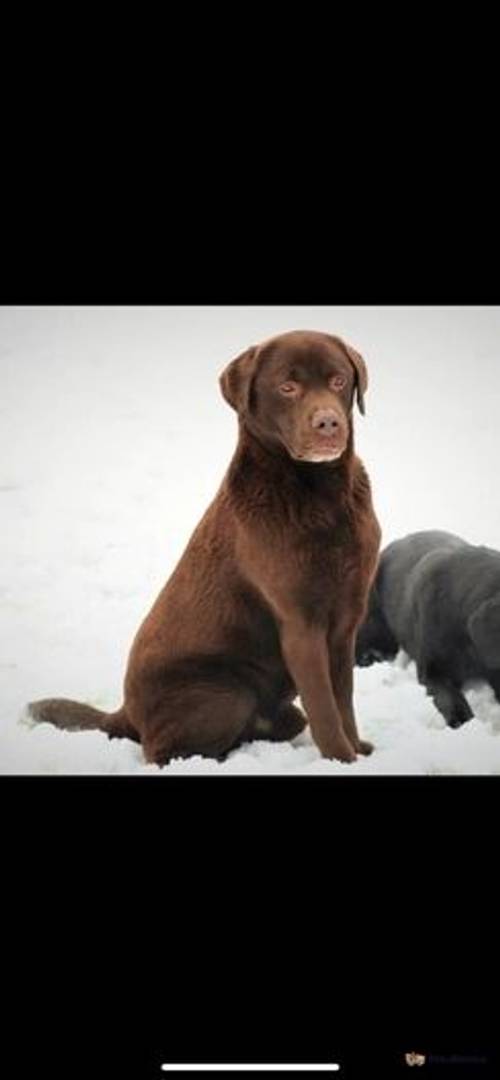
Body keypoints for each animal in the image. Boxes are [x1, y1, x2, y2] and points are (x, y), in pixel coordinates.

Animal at [29, 332, 382, 764]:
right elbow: (325, 707)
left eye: (337, 381)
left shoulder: (346, 618)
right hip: (226, 693)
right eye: (288, 387)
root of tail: (125, 712)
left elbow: (343, 698)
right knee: (160, 750)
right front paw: (342, 759)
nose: (329, 422)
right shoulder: (301, 623)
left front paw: (359, 750)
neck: (322, 497)